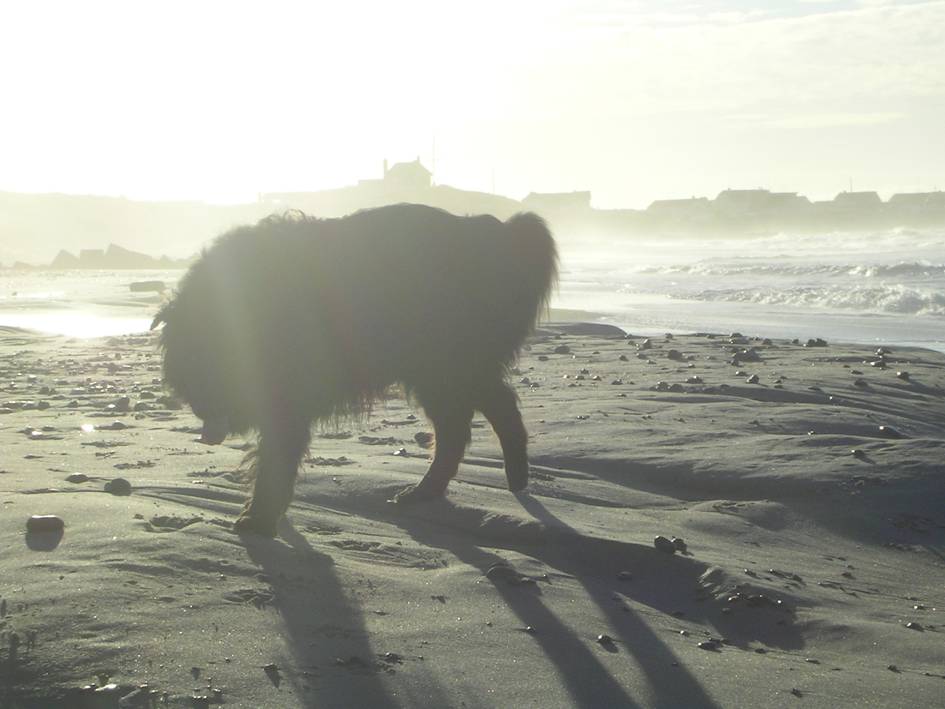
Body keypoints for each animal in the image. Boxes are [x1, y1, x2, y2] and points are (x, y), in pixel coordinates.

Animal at [151, 202, 556, 532]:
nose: (203, 418)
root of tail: (495, 234)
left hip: (446, 365)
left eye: (210, 363)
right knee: (470, 421)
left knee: (479, 417)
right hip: (442, 370)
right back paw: (440, 489)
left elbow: (276, 459)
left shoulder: (289, 398)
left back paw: (496, 478)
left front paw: (260, 518)